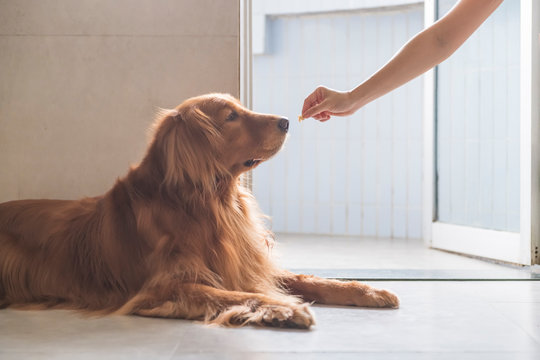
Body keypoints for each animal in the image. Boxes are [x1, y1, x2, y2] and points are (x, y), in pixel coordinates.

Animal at [0, 93, 396, 330]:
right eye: (231, 116)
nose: (286, 121)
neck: (207, 203)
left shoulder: (247, 265)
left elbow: (310, 280)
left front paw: (368, 291)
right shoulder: (163, 288)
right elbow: (233, 295)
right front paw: (285, 308)